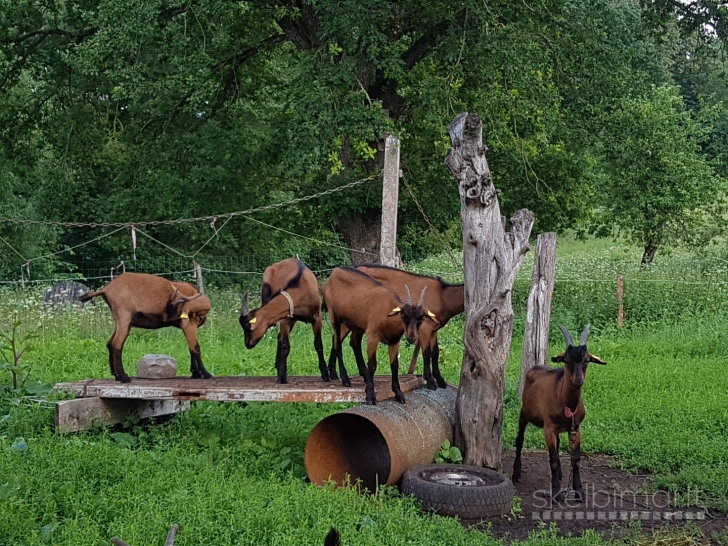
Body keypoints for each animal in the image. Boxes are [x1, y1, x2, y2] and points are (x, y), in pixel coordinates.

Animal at [78, 272, 212, 382]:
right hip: (125, 317)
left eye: (172, 305)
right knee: (116, 344)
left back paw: (116, 376)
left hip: (118, 320)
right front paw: (205, 374)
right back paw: (123, 377)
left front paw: (195, 373)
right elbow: (196, 348)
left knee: (110, 343)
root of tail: (106, 289)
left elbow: (190, 348)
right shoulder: (189, 325)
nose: (163, 318)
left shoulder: (187, 327)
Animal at [322, 266, 436, 404]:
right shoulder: (372, 336)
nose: (412, 337)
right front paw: (370, 396)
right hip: (335, 317)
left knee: (353, 343)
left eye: (422, 318)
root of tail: (334, 273)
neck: (388, 316)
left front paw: (398, 393)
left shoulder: (394, 341)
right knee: (337, 344)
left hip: (354, 324)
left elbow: (394, 365)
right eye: (403, 316)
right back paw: (345, 379)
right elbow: (372, 364)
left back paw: (364, 376)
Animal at [512, 324, 608, 502]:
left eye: (586, 361)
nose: (578, 380)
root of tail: (535, 366)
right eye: (567, 360)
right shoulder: (548, 428)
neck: (567, 403)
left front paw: (579, 492)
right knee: (520, 440)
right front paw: (555, 492)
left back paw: (562, 475)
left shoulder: (576, 428)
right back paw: (516, 473)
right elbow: (554, 459)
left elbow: (575, 459)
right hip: (524, 413)